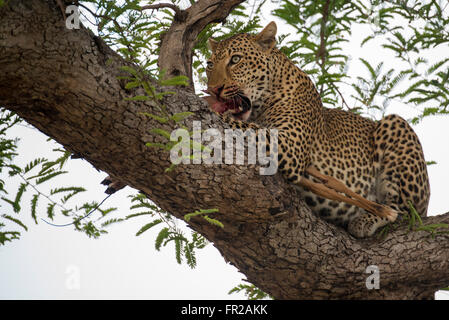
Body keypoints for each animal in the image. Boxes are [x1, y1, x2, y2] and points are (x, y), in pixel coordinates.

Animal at [204, 21, 430, 238]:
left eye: (235, 59)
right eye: (209, 65)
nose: (214, 89)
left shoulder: (290, 146)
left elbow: (245, 127)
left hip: (396, 126)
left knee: (405, 212)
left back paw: (368, 219)